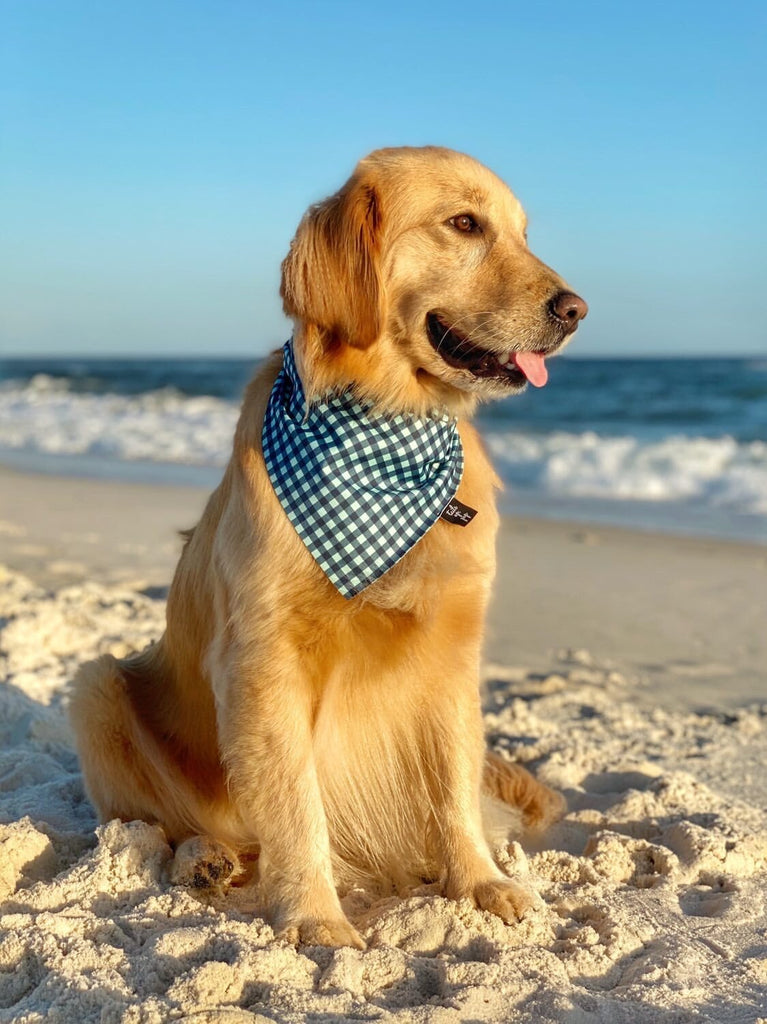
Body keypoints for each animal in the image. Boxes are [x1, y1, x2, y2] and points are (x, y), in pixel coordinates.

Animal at [70, 148, 585, 946]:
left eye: (522, 232)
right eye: (464, 224)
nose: (575, 310)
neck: (386, 426)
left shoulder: (451, 652)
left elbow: (454, 787)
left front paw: (480, 884)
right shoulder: (264, 660)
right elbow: (294, 804)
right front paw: (315, 917)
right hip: (95, 687)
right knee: (155, 828)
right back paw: (203, 859)